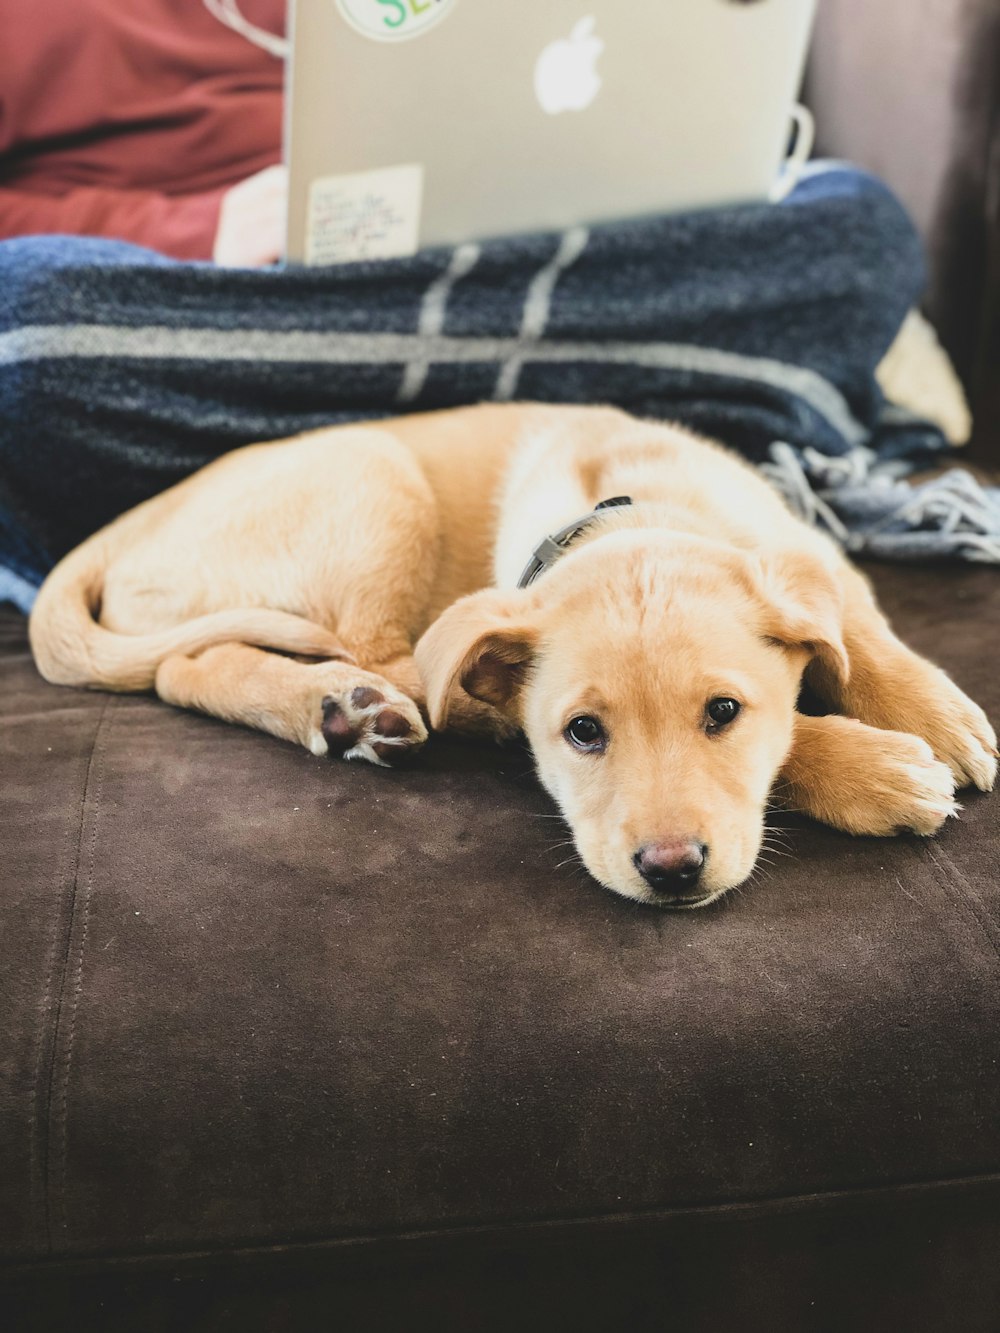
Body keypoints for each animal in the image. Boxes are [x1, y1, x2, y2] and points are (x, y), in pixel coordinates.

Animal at [27, 402, 997, 906]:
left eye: (722, 712)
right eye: (583, 733)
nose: (671, 873)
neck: (634, 509)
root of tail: (134, 523)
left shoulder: (809, 556)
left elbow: (857, 632)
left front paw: (939, 717)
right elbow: (796, 731)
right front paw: (881, 771)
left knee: (186, 665)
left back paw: (341, 707)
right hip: (377, 479)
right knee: (228, 663)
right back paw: (353, 707)